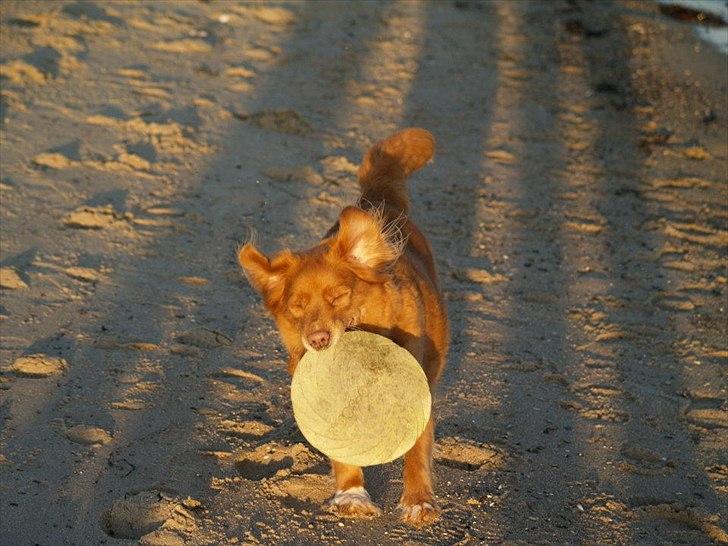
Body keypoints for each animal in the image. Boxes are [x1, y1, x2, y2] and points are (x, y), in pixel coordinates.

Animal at [239, 126, 446, 524]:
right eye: (298, 306)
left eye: (337, 296)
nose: (318, 339)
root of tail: (380, 204)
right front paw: (352, 494)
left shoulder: (417, 387)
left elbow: (416, 448)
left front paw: (418, 501)